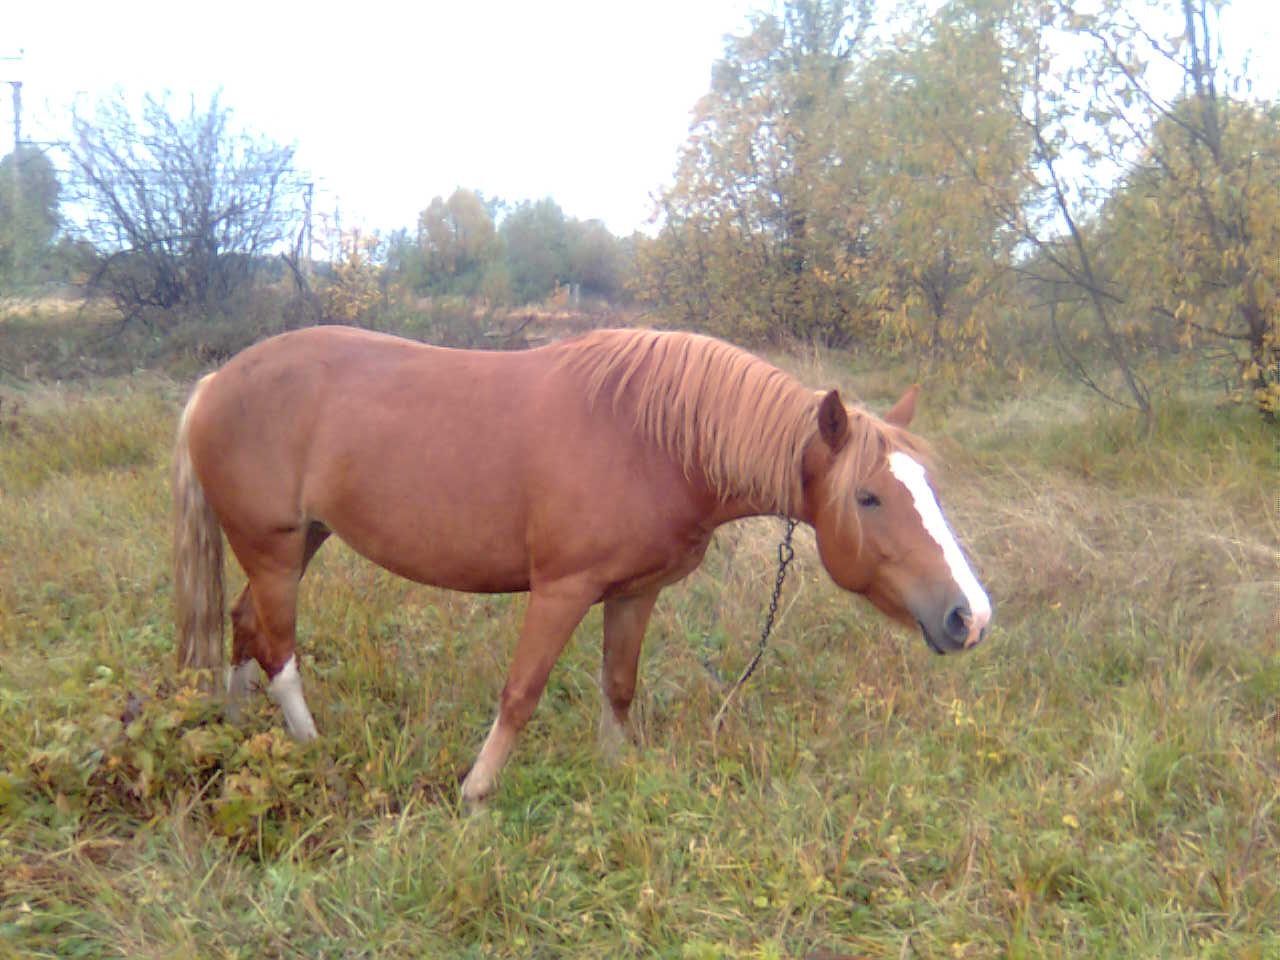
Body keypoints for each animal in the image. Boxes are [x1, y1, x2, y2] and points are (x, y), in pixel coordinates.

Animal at [172, 330, 988, 803]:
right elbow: (521, 694)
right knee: (280, 652)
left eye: (927, 485)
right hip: (275, 548)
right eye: (869, 496)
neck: (654, 439)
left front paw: (615, 772)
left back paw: (238, 733)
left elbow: (618, 687)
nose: (970, 615)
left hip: (299, 542)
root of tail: (215, 383)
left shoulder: (634, 594)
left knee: (245, 627)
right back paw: (313, 753)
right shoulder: (561, 592)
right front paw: (476, 795)